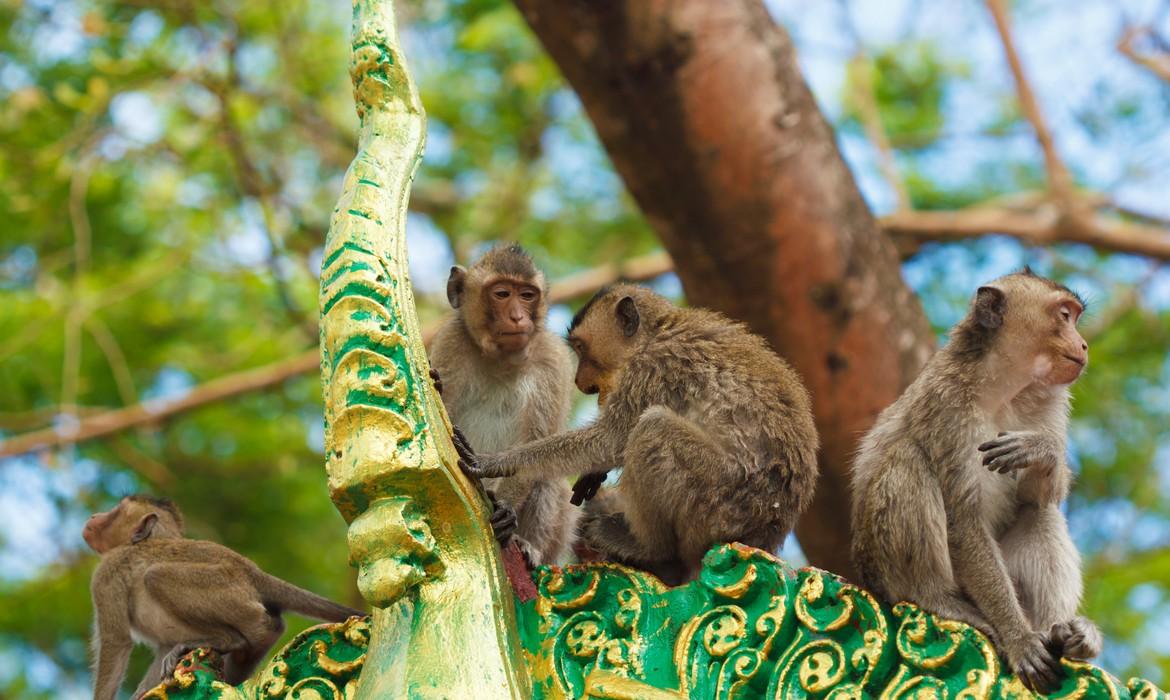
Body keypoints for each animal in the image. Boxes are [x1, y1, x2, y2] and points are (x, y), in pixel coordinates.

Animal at [85, 496, 365, 697]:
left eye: (116, 511)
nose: (95, 517)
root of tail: (254, 574)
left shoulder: (106, 574)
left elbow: (116, 640)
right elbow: (161, 645)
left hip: (229, 590)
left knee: (156, 576)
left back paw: (227, 639)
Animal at [428, 244, 577, 568]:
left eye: (527, 295)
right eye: (502, 294)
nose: (519, 317)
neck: (501, 361)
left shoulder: (552, 361)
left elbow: (538, 445)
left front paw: (507, 509)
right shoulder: (451, 343)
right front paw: (437, 386)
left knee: (549, 473)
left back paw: (529, 545)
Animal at [451, 282, 819, 585]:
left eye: (581, 348)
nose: (582, 383)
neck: (657, 332)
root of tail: (764, 535)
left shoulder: (653, 367)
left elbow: (612, 439)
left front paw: (494, 463)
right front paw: (593, 474)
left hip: (719, 506)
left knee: (653, 429)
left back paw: (650, 549)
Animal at [847, 271, 1099, 692]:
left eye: (1075, 318)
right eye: (1064, 316)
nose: (1083, 344)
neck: (1006, 386)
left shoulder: (1051, 403)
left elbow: (1041, 493)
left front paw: (1042, 449)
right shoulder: (946, 404)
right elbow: (963, 519)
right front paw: (1019, 638)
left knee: (1039, 513)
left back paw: (1065, 633)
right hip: (882, 570)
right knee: (908, 459)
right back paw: (933, 596)